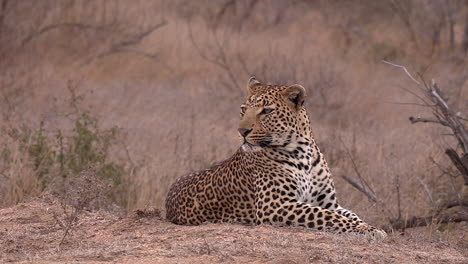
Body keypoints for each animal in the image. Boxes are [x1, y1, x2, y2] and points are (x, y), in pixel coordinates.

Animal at [166, 76, 386, 239]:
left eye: (266, 111)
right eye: (243, 109)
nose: (241, 131)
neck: (302, 152)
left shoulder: (328, 202)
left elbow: (349, 214)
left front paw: (368, 226)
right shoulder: (275, 205)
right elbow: (327, 216)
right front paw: (369, 230)